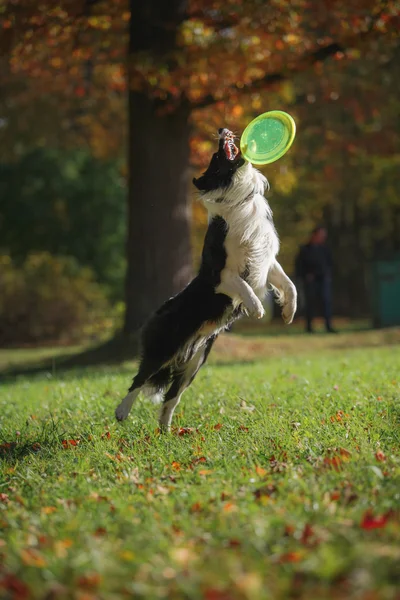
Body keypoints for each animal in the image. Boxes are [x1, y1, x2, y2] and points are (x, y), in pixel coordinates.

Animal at [115, 126, 296, 428]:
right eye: (215, 157)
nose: (223, 130)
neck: (239, 196)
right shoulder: (219, 274)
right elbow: (244, 286)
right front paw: (257, 308)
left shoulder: (266, 261)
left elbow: (290, 286)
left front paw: (289, 313)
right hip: (164, 347)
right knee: (139, 380)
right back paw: (122, 411)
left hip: (195, 363)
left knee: (171, 398)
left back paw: (166, 432)